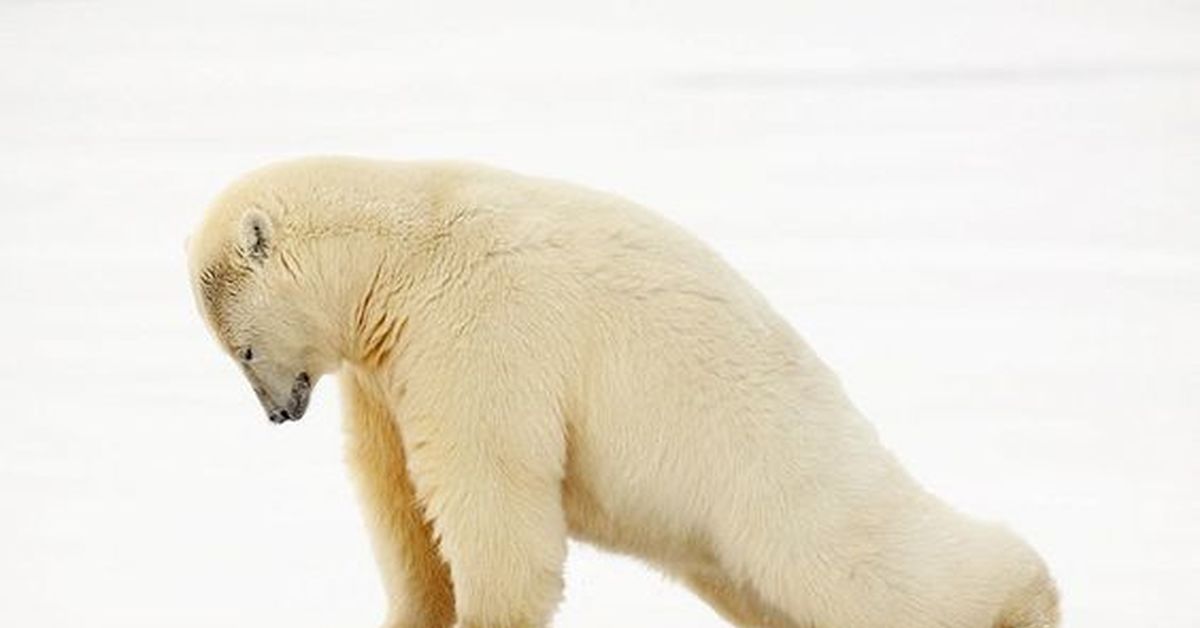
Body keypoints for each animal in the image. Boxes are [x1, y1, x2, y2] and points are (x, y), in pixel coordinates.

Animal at [187, 157, 1060, 628]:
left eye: (243, 350)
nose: (280, 412)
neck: (401, 254)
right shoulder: (385, 371)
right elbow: (399, 500)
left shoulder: (481, 331)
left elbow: (491, 492)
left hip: (766, 454)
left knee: (852, 559)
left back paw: (1026, 595)